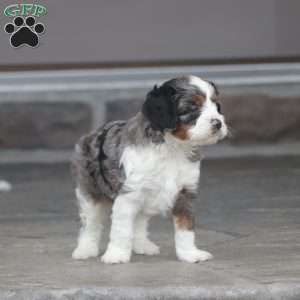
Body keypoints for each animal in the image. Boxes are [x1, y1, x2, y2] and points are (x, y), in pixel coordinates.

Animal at [71, 75, 227, 262]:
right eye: (192, 107)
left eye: (217, 106)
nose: (218, 123)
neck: (173, 148)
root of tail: (92, 134)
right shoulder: (129, 194)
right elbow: (121, 230)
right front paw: (116, 255)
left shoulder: (185, 193)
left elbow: (185, 229)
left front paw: (190, 254)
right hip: (90, 192)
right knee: (90, 224)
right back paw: (85, 249)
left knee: (139, 221)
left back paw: (142, 245)